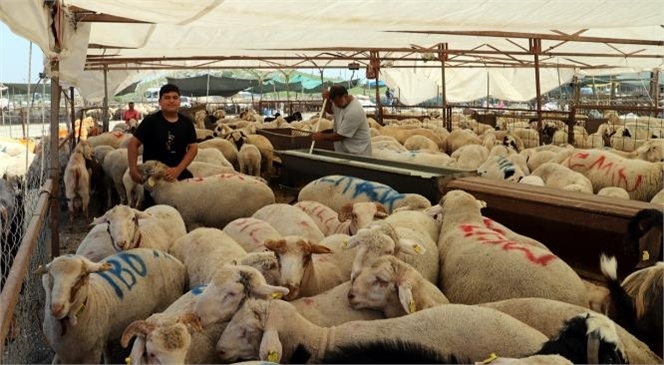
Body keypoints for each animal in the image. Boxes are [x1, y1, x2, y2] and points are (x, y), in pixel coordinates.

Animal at [37, 247, 185, 364]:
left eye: (81, 276)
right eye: (50, 276)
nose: (57, 308)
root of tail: (175, 261)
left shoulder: (92, 354)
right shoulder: (63, 352)